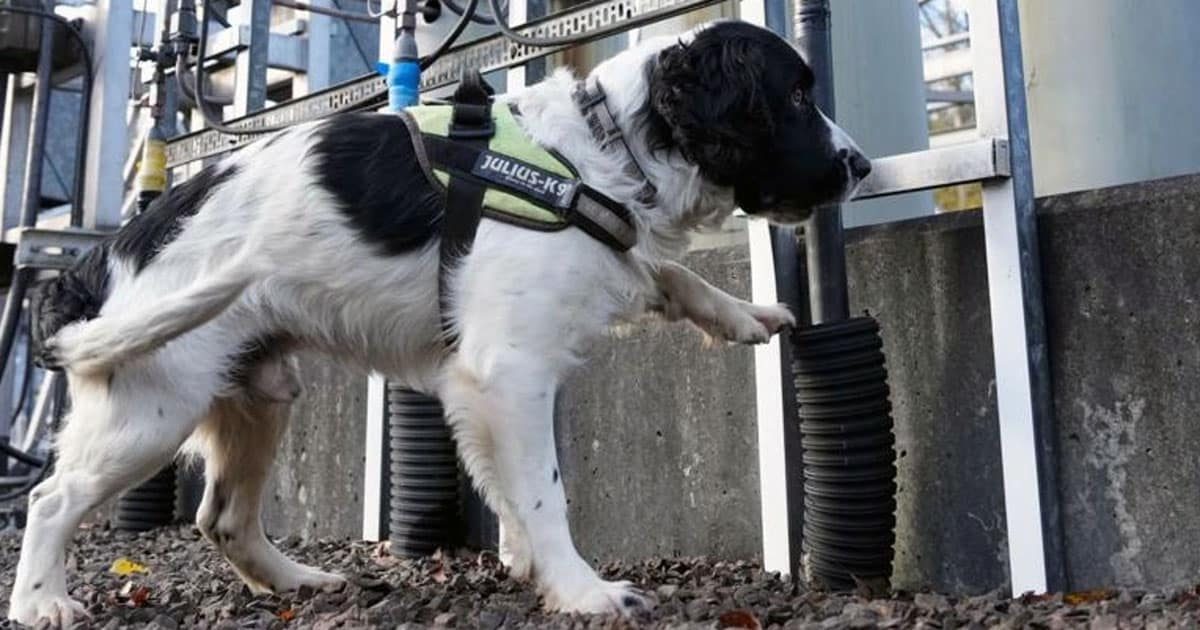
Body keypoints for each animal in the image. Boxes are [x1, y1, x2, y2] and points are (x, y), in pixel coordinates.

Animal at [7, 18, 873, 624]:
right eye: (797, 97)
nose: (862, 165)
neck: (600, 152)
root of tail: (95, 264)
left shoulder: (496, 370)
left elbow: (667, 272)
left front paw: (742, 312)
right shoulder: (509, 372)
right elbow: (545, 493)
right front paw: (582, 590)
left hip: (258, 393)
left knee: (222, 518)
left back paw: (296, 581)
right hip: (152, 409)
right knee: (50, 499)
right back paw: (40, 601)